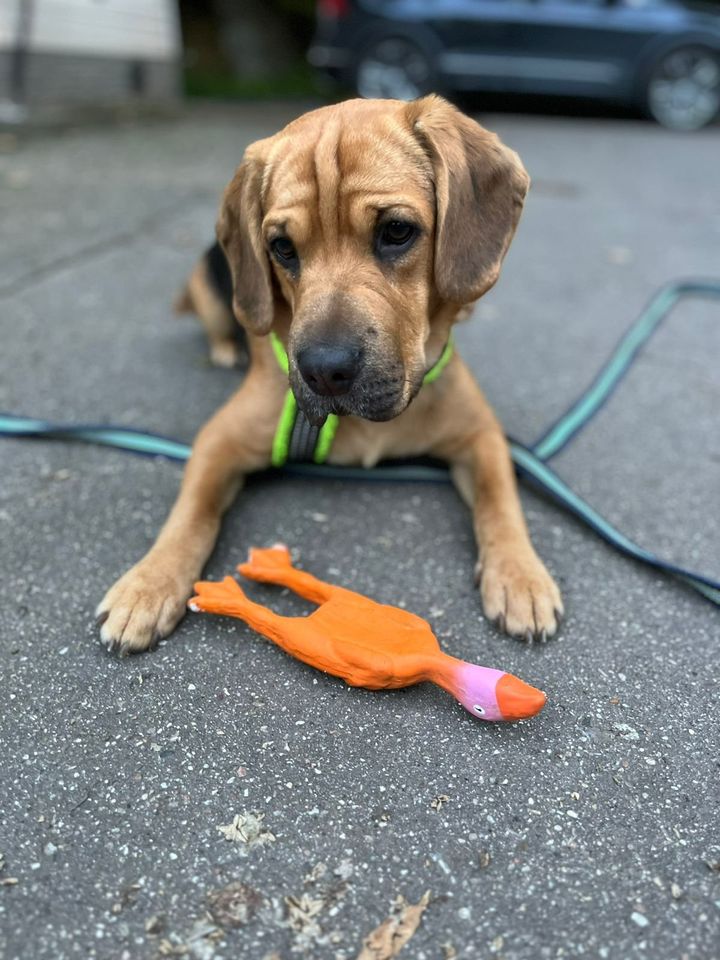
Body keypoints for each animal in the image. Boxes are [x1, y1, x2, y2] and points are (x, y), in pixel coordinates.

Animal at [98, 95, 564, 652]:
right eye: (281, 247)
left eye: (397, 232)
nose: (323, 372)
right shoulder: (218, 441)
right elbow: (190, 515)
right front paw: (148, 582)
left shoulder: (483, 437)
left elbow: (501, 503)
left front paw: (521, 575)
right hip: (210, 292)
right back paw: (226, 351)